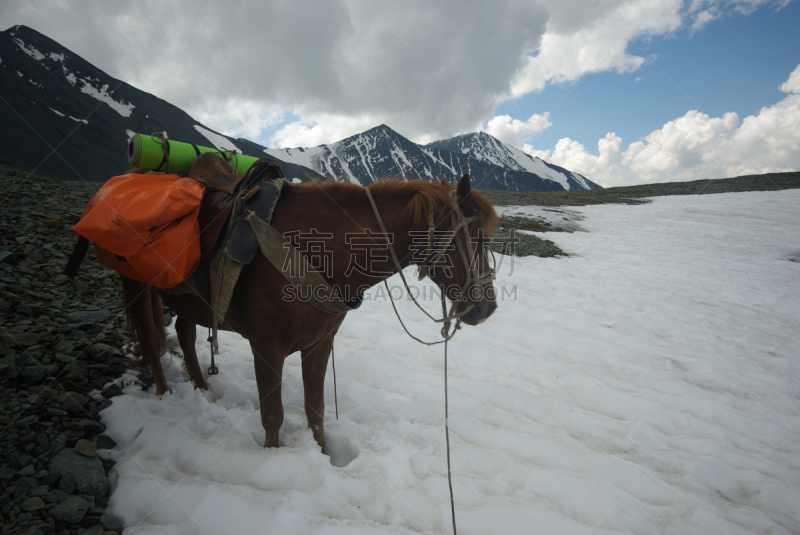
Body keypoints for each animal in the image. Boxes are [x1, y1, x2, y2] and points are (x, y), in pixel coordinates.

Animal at [121, 174, 496, 454]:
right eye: (477, 238)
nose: (487, 308)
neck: (317, 254)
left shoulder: (319, 344)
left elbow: (316, 409)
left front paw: (323, 454)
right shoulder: (266, 348)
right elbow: (272, 415)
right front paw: (272, 457)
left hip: (189, 299)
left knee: (185, 333)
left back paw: (201, 389)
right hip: (135, 284)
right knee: (152, 342)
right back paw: (164, 395)